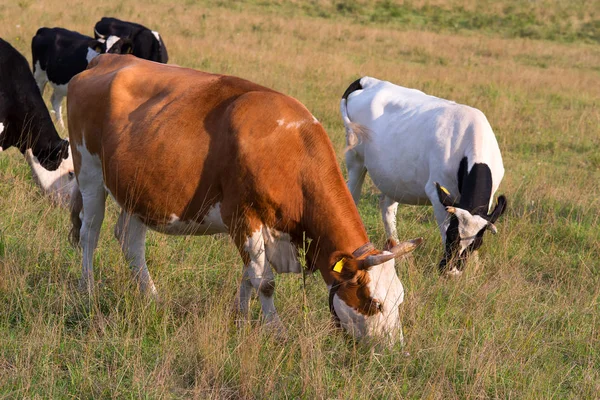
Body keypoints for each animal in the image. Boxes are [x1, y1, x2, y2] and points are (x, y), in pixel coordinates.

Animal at [67, 55, 422, 344]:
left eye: (400, 299)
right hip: (89, 171)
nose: (396, 350)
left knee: (131, 243)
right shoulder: (243, 216)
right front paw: (277, 332)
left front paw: (240, 320)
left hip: (139, 192)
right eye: (374, 302)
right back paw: (88, 290)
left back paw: (152, 297)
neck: (288, 149)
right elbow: (263, 282)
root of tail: (106, 59)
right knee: (89, 233)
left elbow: (248, 276)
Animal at [340, 76, 504, 276]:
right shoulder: (437, 193)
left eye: (477, 243)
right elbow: (443, 226)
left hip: (394, 178)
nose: (452, 272)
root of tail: (366, 81)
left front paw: (473, 268)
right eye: (452, 235)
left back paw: (400, 253)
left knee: (387, 208)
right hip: (355, 158)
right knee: (352, 197)